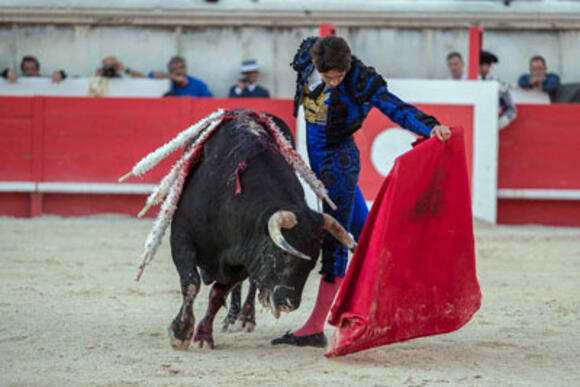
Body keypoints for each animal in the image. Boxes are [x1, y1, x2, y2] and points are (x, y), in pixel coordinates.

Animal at [165, 110, 352, 350]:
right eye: (284, 254)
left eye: (313, 262)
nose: (289, 304)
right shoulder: (181, 237)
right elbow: (191, 283)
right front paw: (180, 333)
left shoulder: (246, 255)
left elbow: (218, 293)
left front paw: (204, 335)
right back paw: (232, 318)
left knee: (250, 284)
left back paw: (245, 317)